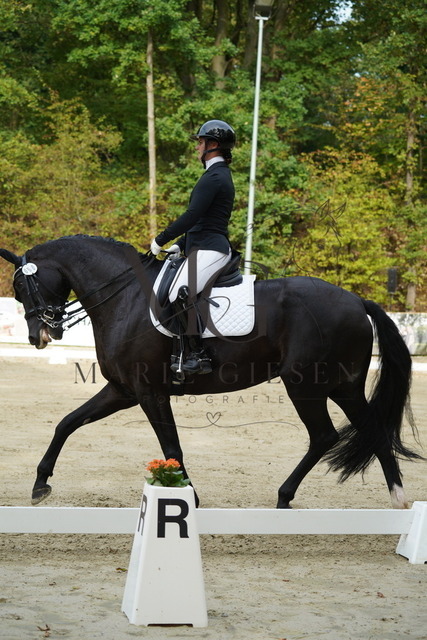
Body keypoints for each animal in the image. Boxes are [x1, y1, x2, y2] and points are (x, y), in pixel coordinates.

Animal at [0, 235, 421, 509]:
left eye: (21, 286)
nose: (39, 336)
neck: (125, 298)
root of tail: (356, 301)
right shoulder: (123, 390)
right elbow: (67, 423)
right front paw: (40, 484)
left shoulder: (149, 392)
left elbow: (171, 447)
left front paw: (190, 497)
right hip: (343, 386)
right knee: (370, 428)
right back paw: (397, 498)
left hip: (305, 384)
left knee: (323, 435)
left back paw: (285, 497)